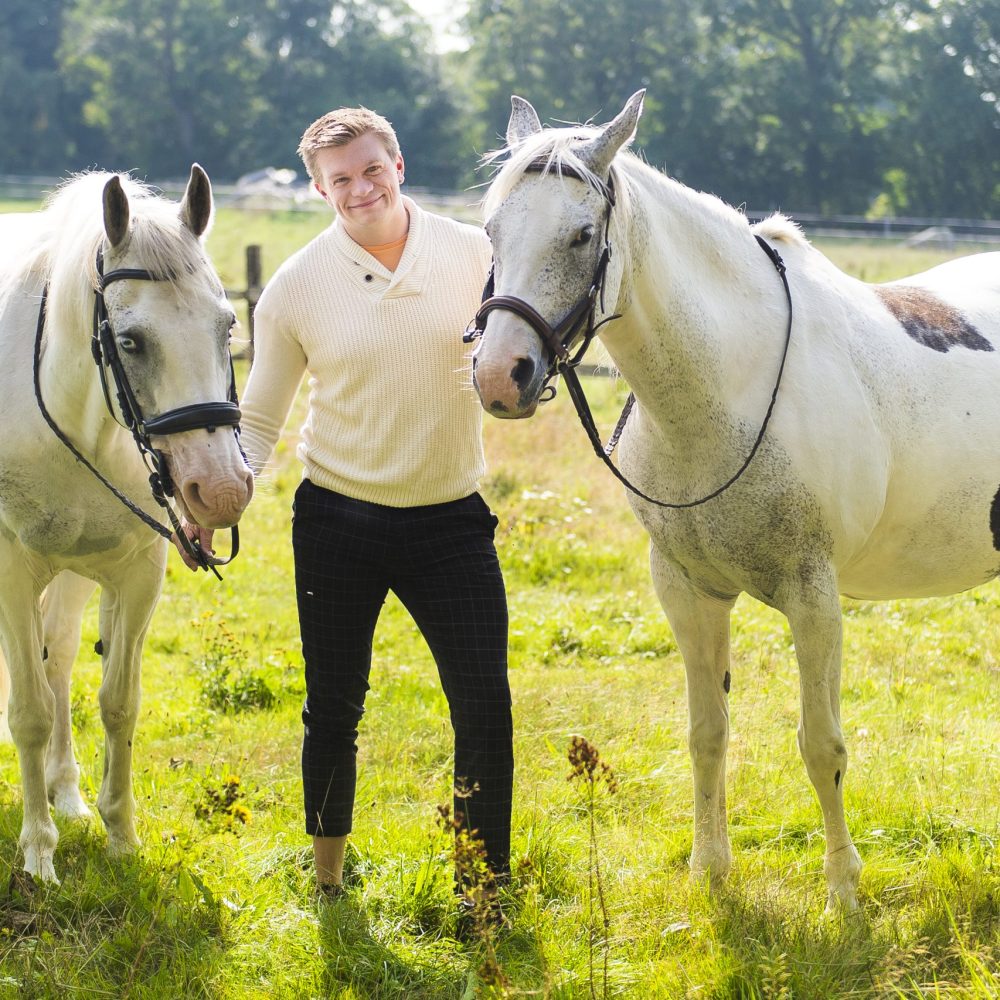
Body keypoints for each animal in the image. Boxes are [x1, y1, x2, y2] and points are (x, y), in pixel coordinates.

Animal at [0, 166, 254, 884]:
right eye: (131, 340)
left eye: (227, 324)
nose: (221, 492)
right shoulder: (12, 570)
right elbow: (27, 711)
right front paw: (38, 854)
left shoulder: (138, 571)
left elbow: (118, 702)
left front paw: (120, 836)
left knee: (59, 657)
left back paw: (66, 794)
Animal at [472, 90, 1000, 912]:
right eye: (492, 228)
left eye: (582, 234)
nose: (501, 376)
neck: (730, 387)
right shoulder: (687, 589)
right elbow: (707, 732)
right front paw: (710, 872)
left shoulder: (814, 596)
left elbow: (821, 745)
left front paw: (843, 891)